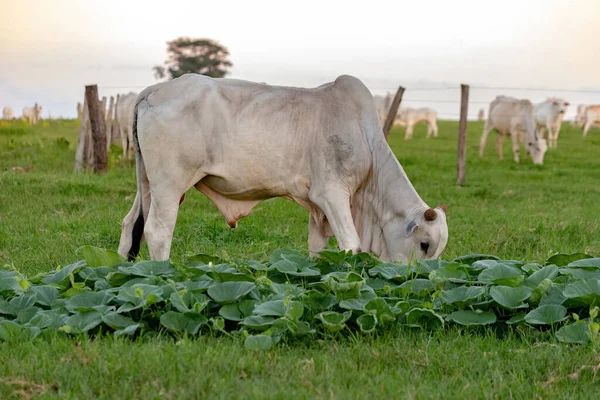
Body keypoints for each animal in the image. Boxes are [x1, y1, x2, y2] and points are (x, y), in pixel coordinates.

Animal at [118, 74, 446, 262]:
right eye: (425, 244)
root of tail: (155, 89)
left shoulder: (319, 208)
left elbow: (317, 249)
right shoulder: (332, 194)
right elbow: (351, 246)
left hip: (149, 183)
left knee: (131, 224)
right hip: (170, 184)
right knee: (157, 231)